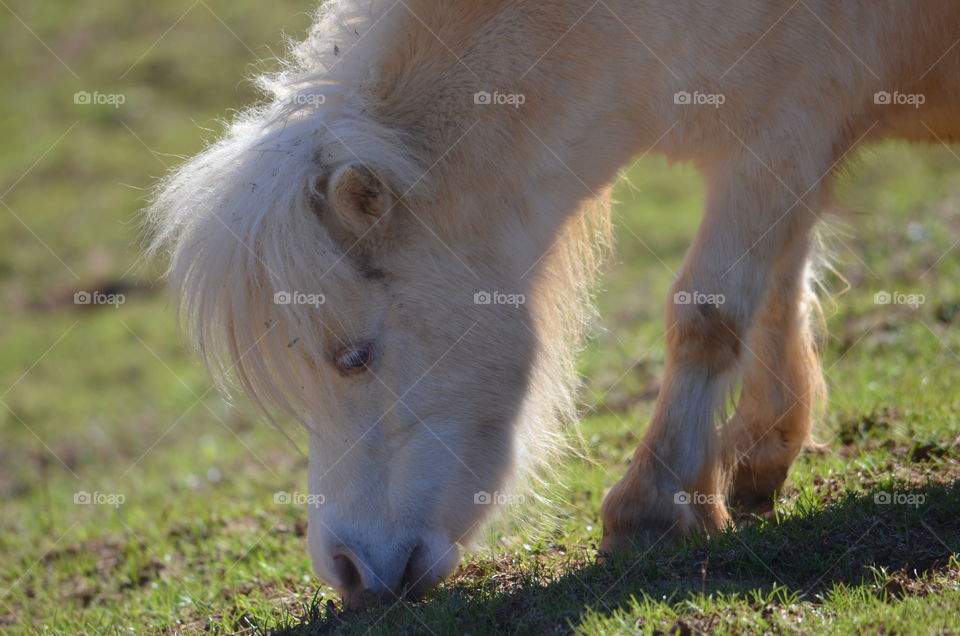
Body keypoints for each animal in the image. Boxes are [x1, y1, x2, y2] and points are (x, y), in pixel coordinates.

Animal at [148, 0, 960, 610]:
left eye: (355, 356)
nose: (345, 569)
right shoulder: (793, 150)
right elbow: (777, 295)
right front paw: (757, 455)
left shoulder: (782, 130)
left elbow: (710, 314)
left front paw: (653, 510)